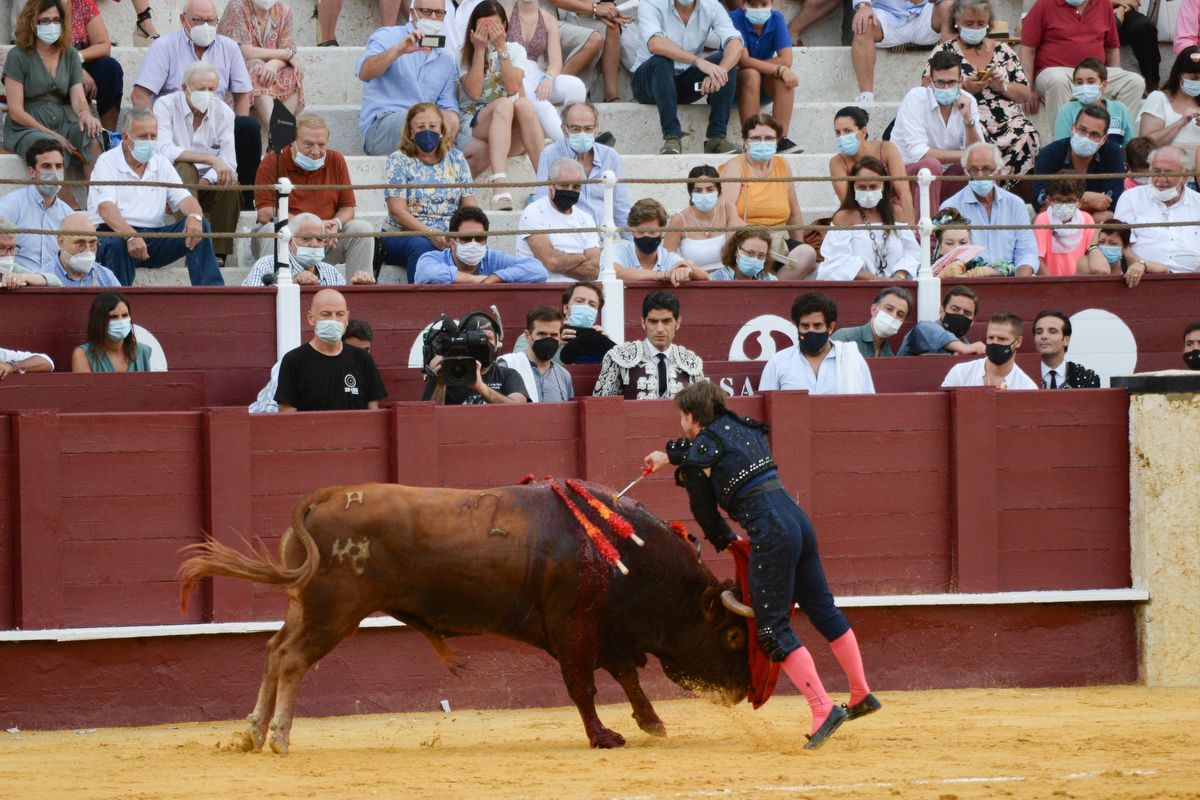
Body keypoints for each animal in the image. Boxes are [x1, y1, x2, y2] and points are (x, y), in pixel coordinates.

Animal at [177, 484, 748, 753]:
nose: (745, 692)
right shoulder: (573, 628)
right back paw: (279, 737)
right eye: (734, 635)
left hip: (306, 606)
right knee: (293, 659)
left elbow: (626, 675)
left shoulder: (602, 631)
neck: (620, 552)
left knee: (274, 651)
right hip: (334, 612)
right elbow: (584, 686)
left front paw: (651, 722)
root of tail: (325, 496)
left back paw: (252, 733)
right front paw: (603, 736)